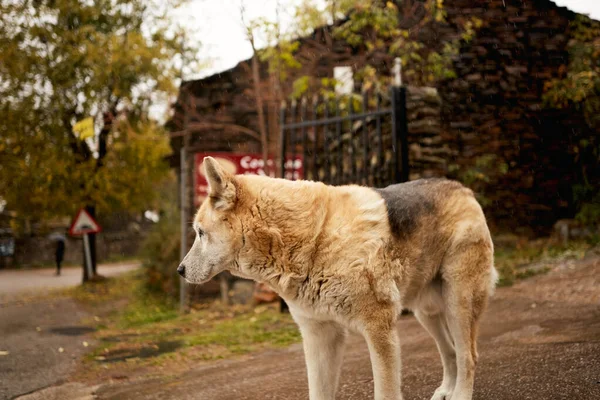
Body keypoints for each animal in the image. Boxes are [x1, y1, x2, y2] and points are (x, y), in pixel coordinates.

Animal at [178, 156, 496, 400]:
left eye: (200, 233)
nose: (179, 271)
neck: (315, 239)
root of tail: (463, 188)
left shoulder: (379, 331)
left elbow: (386, 392)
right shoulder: (319, 338)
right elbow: (319, 393)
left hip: (457, 306)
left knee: (469, 356)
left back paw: (460, 394)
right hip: (425, 312)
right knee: (451, 353)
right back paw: (446, 390)